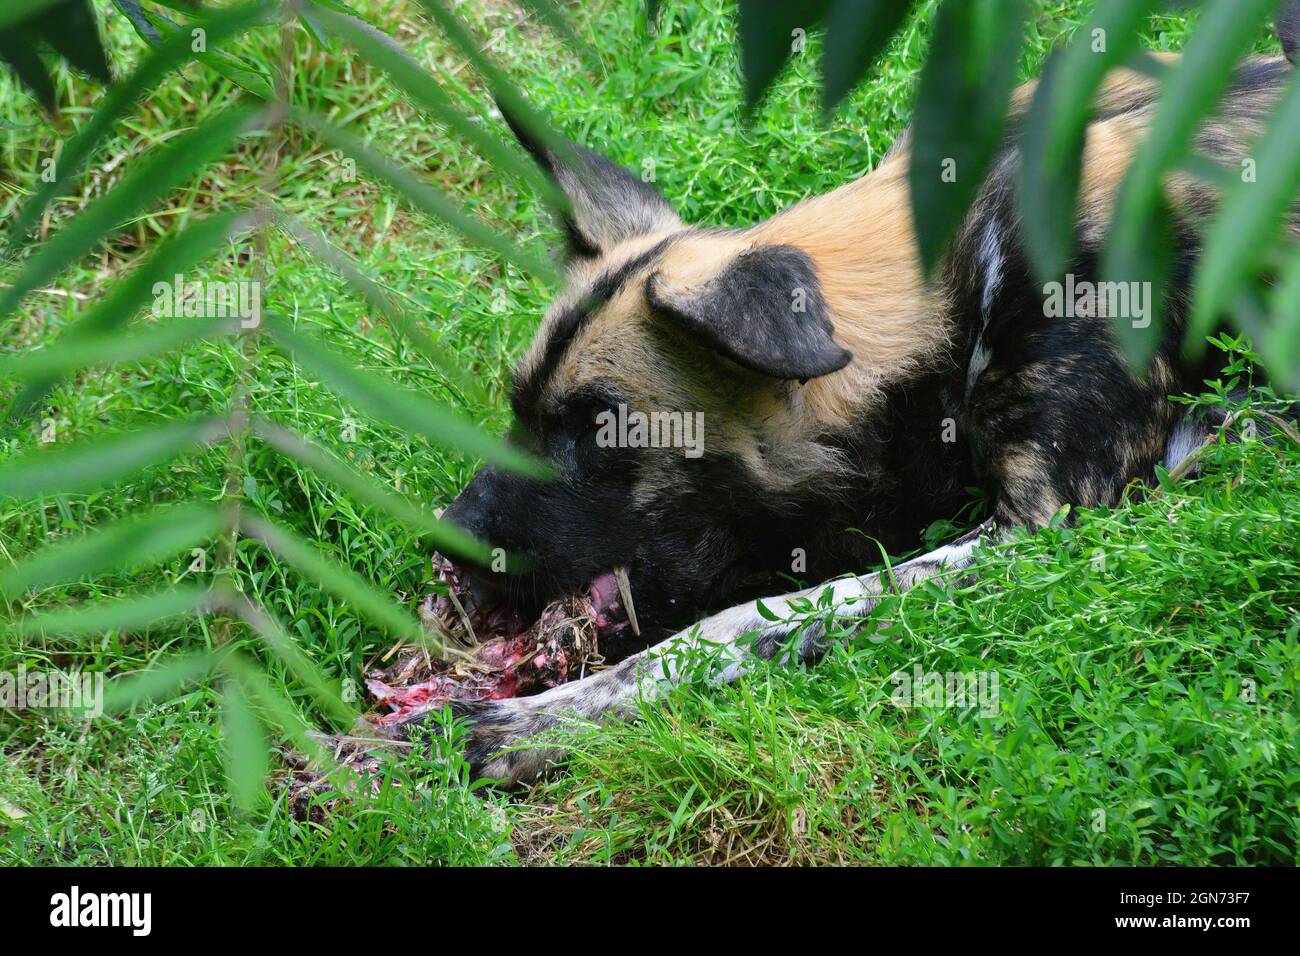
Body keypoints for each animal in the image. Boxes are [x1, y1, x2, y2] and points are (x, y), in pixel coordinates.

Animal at [413, 7, 1300, 785]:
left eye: (599, 430)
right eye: (519, 409)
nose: (446, 540)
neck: (967, 277)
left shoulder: (1039, 534)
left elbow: (729, 631)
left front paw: (528, 727)